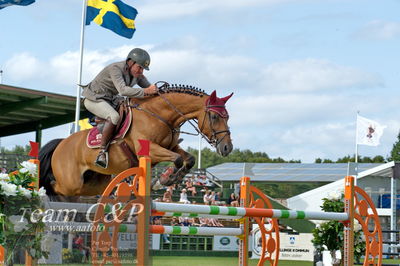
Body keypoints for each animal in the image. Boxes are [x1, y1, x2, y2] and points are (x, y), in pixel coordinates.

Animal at [39, 84, 233, 196]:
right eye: (214, 117)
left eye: (227, 117)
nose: (227, 148)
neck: (159, 115)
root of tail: (61, 144)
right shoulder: (150, 150)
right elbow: (177, 159)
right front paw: (164, 180)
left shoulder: (171, 146)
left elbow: (188, 159)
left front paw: (167, 179)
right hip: (71, 182)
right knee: (55, 187)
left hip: (94, 183)